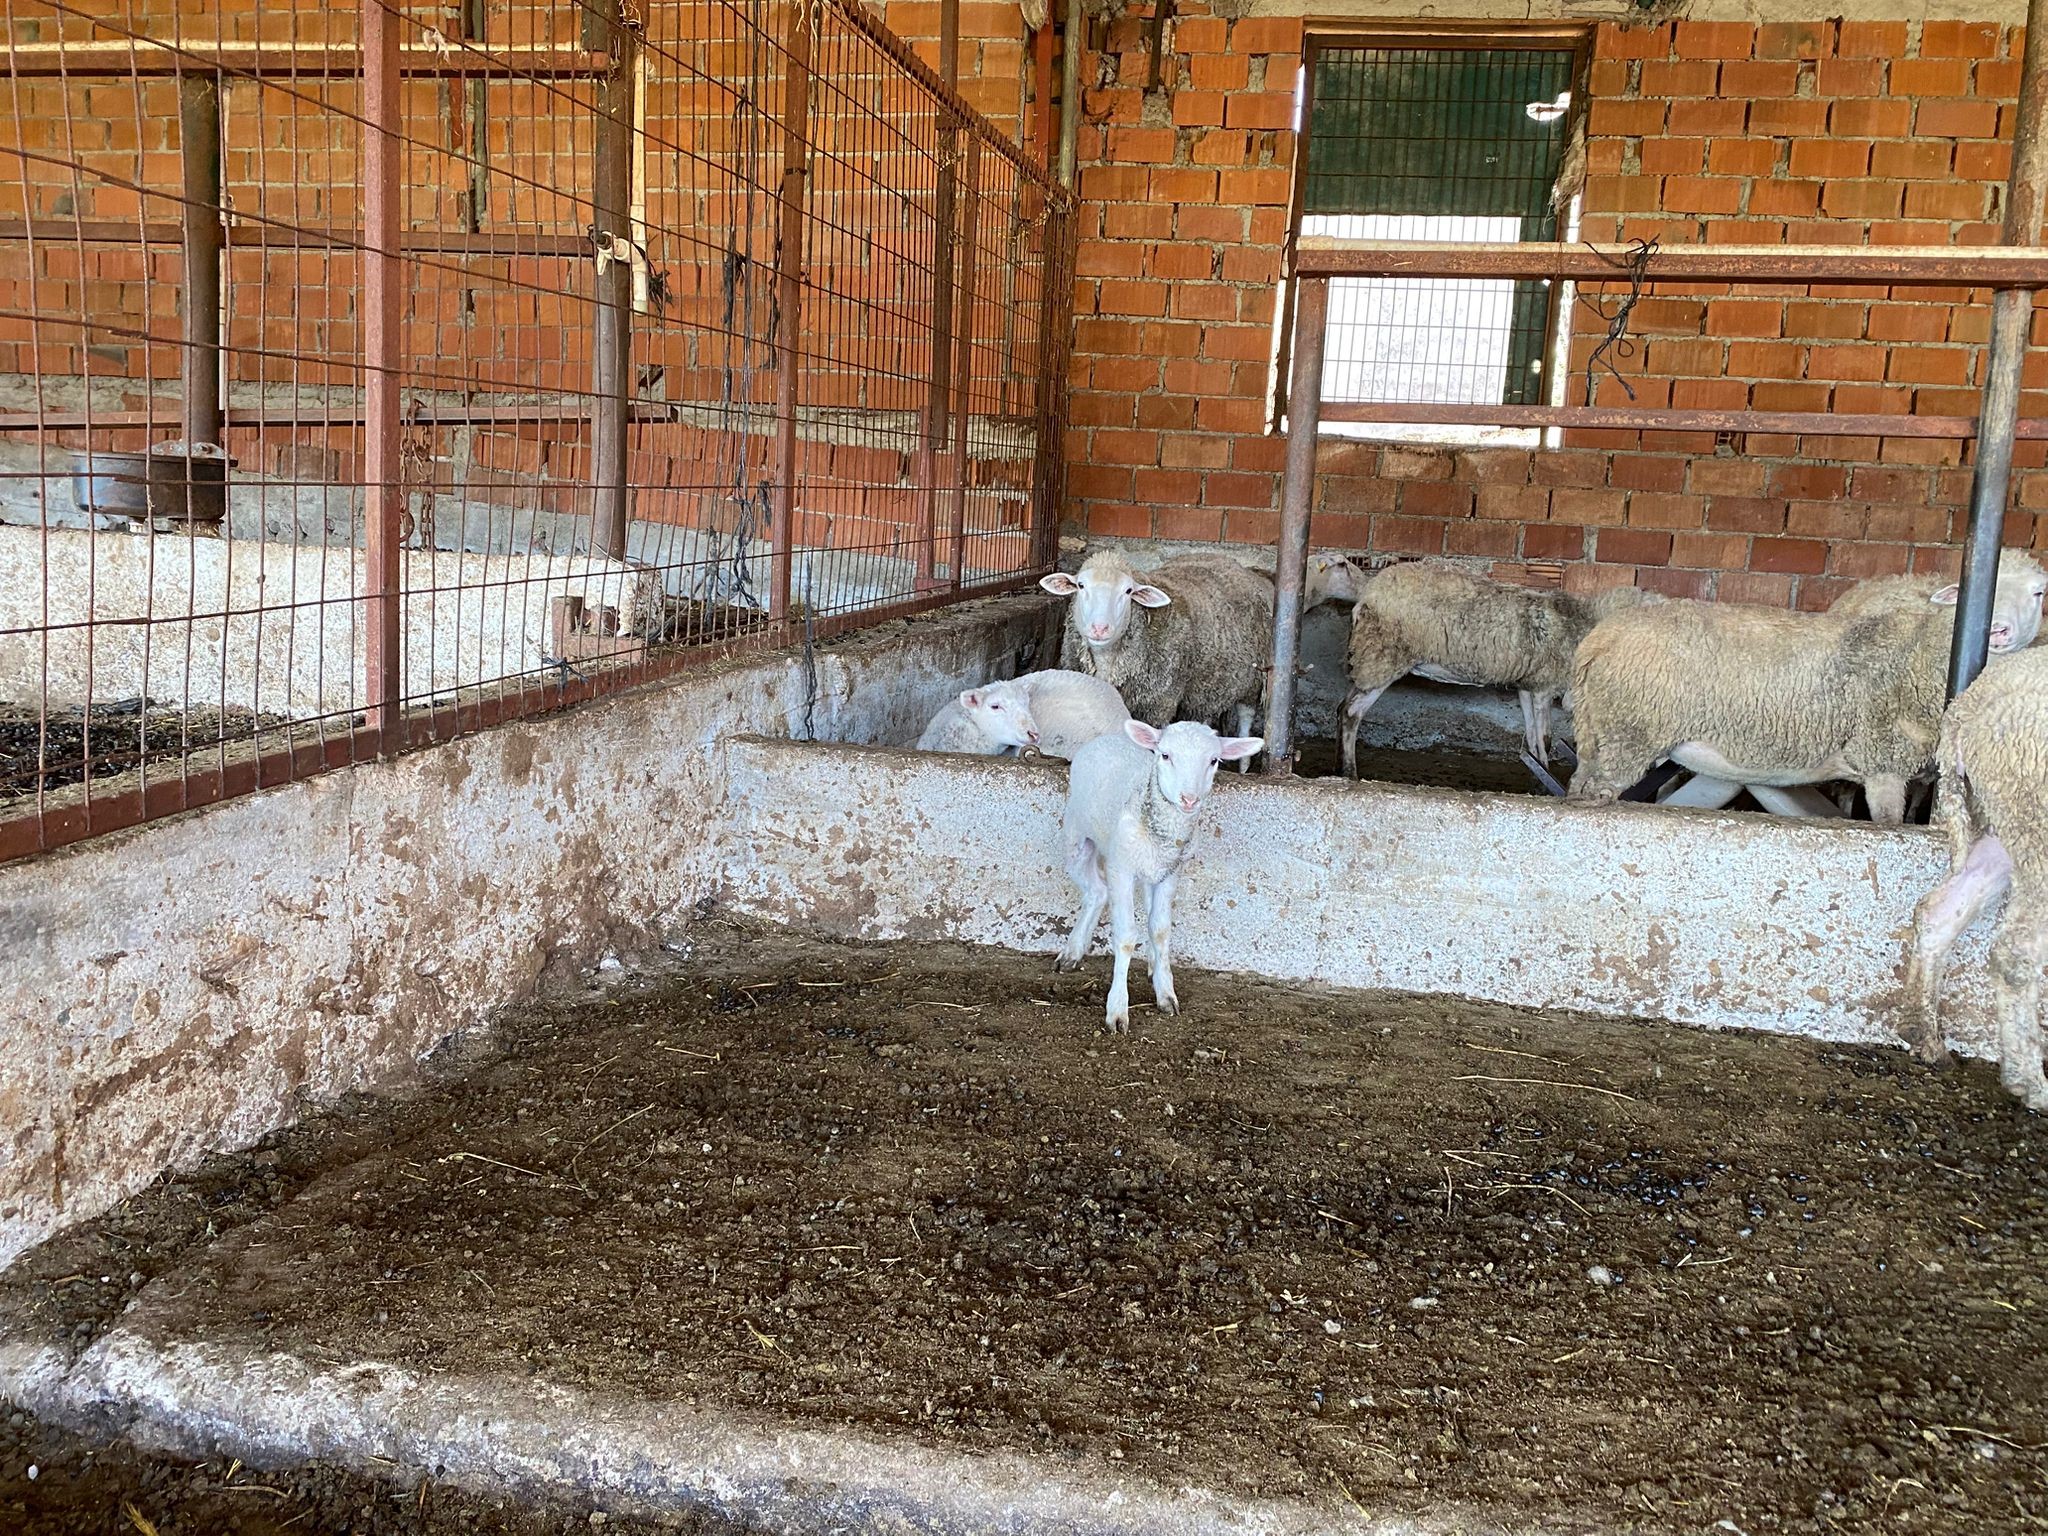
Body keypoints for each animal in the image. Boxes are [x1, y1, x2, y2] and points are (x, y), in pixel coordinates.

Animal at [1056, 720, 1261, 1036]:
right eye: (1165, 755)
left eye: (1214, 760)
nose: (1189, 799)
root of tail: (1107, 739)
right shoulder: (1121, 868)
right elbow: (1126, 937)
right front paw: (1117, 1010)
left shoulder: (1170, 872)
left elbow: (1160, 930)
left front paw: (1165, 992)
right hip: (1076, 838)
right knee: (1095, 891)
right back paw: (1072, 951)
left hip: (1150, 869)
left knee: (1107, 896)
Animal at [1335, 561, 1654, 774]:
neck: (1582, 622)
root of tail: (1367, 593)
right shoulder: (1544, 683)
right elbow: (1546, 737)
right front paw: (1546, 773)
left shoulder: (1528, 684)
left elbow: (1533, 737)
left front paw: (1537, 768)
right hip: (1381, 656)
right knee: (1351, 712)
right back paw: (1349, 771)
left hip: (1372, 659)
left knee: (1343, 709)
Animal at [1564, 557, 2048, 831]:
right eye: (1977, 589)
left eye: (2038, 592)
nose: (1998, 629)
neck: (1917, 653)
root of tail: (1599, 639)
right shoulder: (1883, 761)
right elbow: (1890, 825)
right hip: (1631, 731)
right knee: (1598, 794)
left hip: (1598, 731)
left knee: (1578, 785)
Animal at [1892, 647, 2048, 1105]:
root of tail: (1965, 711)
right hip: (2034, 821)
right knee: (2015, 951)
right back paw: (2032, 1083)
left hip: (2006, 820)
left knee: (1939, 911)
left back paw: (1923, 1035)